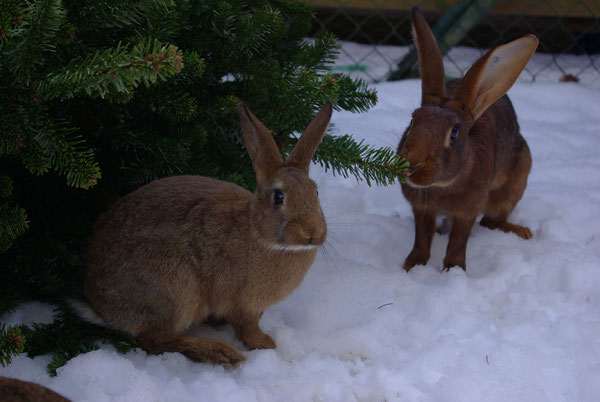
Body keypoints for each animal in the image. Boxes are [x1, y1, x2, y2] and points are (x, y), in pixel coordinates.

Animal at [73, 99, 332, 364]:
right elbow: (246, 328)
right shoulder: (242, 304)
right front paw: (267, 345)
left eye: (315, 192)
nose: (313, 233)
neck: (261, 235)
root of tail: (100, 306)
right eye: (279, 196)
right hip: (175, 292)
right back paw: (219, 352)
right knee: (156, 341)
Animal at [398, 6, 540, 272]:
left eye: (454, 131)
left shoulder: (468, 211)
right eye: (412, 120)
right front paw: (411, 266)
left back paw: (522, 232)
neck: (442, 187)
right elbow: (422, 238)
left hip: (515, 181)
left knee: (492, 221)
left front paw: (453, 271)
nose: (412, 165)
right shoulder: (422, 208)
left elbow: (458, 241)